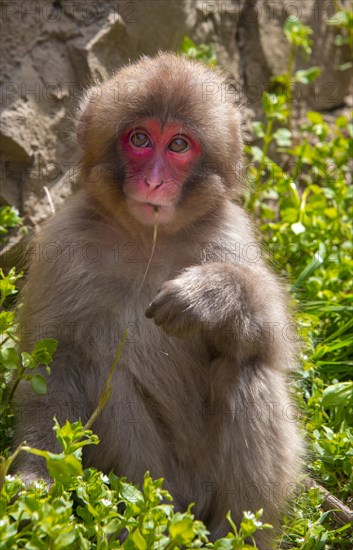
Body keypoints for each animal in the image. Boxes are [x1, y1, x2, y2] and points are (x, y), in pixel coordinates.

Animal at [14, 54, 300, 548]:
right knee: (104, 369)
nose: (153, 181)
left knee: (246, 368)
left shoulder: (229, 235)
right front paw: (37, 475)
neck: (149, 238)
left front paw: (212, 296)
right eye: (140, 140)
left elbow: (272, 342)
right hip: (159, 479)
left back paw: (238, 533)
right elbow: (54, 362)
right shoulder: (63, 244)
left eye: (179, 144)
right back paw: (146, 522)